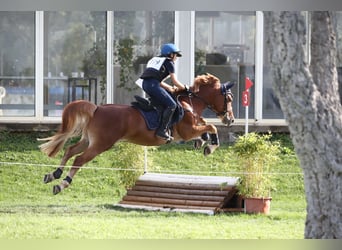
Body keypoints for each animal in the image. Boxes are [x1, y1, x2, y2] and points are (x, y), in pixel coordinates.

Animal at [38, 73, 234, 194]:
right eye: (229, 98)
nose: (230, 119)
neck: (189, 103)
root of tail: (97, 108)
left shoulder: (190, 130)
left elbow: (205, 127)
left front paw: (203, 142)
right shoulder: (187, 131)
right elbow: (211, 127)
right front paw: (210, 146)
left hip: (89, 140)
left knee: (70, 150)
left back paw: (53, 175)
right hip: (101, 144)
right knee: (79, 159)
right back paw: (62, 184)